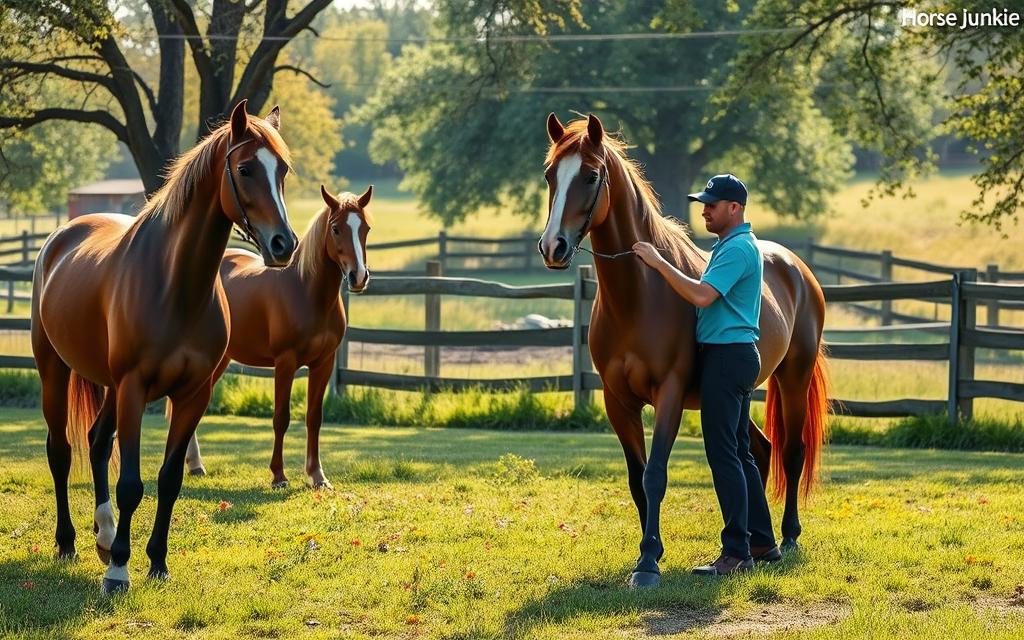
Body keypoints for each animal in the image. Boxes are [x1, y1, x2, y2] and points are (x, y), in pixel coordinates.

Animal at [32, 100, 296, 593]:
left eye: (283, 170)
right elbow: (132, 484)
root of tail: (61, 237)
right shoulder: (135, 388)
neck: (176, 287)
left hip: (110, 387)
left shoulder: (194, 394)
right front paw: (119, 570)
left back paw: (104, 535)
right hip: (55, 372)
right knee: (61, 452)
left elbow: (170, 478)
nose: (283, 244)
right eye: (246, 168)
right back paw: (69, 543)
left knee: (97, 442)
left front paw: (156, 562)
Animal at [186, 182, 374, 487]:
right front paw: (278, 475)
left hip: (221, 359)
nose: (358, 277)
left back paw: (194, 465)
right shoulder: (285, 363)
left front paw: (317, 475)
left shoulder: (324, 363)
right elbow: (281, 418)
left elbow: (314, 417)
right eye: (336, 229)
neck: (307, 292)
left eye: (365, 228)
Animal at [540, 112, 827, 585]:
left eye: (590, 175)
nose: (552, 247)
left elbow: (656, 475)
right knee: (757, 452)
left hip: (793, 378)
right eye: (550, 175)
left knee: (790, 452)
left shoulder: (669, 394)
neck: (640, 295)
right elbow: (637, 480)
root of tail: (796, 267)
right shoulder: (618, 402)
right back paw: (756, 545)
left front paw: (648, 564)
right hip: (735, 398)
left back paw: (787, 537)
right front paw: (649, 552)